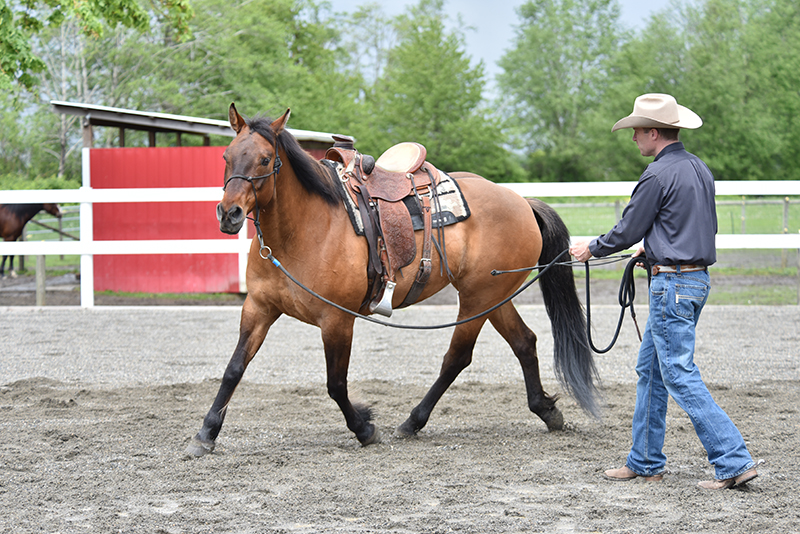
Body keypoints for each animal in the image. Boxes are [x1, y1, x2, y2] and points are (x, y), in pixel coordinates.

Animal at [186, 104, 598, 456]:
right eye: (226, 157)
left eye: (265, 159)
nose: (228, 214)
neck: (304, 230)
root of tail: (521, 201)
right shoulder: (258, 308)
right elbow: (233, 370)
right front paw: (205, 434)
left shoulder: (337, 320)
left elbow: (336, 384)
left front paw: (365, 428)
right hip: (493, 296)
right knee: (524, 342)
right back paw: (546, 410)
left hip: (478, 298)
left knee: (457, 357)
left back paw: (413, 421)